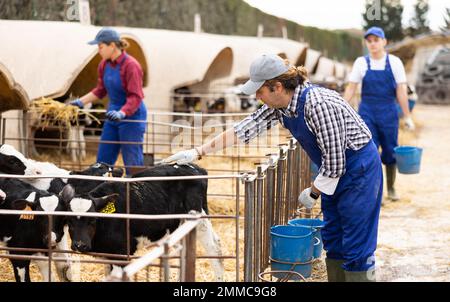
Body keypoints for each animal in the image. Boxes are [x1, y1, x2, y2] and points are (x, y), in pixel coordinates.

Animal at [62, 164, 224, 282]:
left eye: (92, 220)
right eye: (69, 220)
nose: (80, 245)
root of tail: (194, 167)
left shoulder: (121, 253)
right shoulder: (107, 255)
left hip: (199, 219)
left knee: (214, 247)